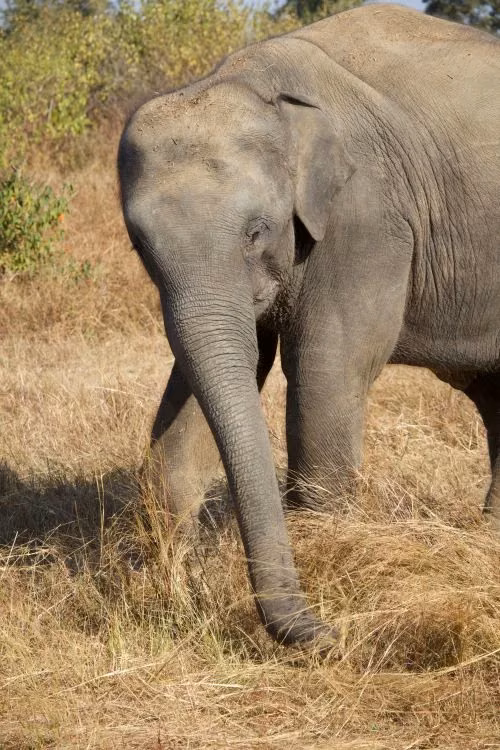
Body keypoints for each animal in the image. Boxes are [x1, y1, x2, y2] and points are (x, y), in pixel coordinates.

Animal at [118, 5, 500, 648]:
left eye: (255, 231)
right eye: (140, 246)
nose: (327, 633)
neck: (261, 84)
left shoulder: (366, 218)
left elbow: (325, 374)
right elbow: (217, 376)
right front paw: (172, 587)